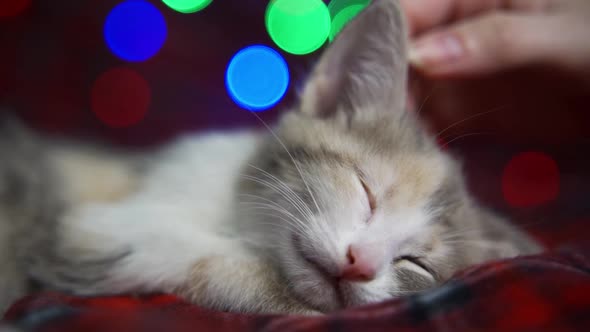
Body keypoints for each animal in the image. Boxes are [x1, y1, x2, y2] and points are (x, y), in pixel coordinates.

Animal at [1, 0, 544, 316]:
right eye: (366, 190)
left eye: (418, 264)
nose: (362, 264)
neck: (241, 217)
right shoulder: (92, 230)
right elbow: (222, 269)